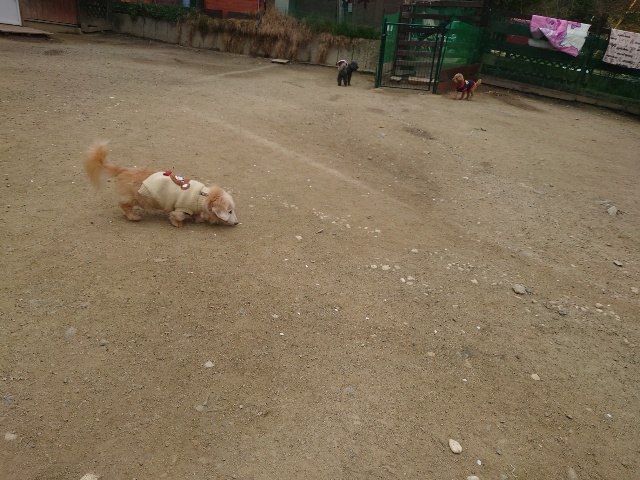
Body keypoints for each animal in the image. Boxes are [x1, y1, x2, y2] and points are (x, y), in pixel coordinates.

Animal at [84, 142, 238, 228]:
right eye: (229, 211)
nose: (236, 223)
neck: (203, 197)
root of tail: (123, 170)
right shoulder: (181, 208)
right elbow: (177, 216)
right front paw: (178, 224)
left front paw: (198, 218)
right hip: (132, 198)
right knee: (124, 206)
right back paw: (134, 217)